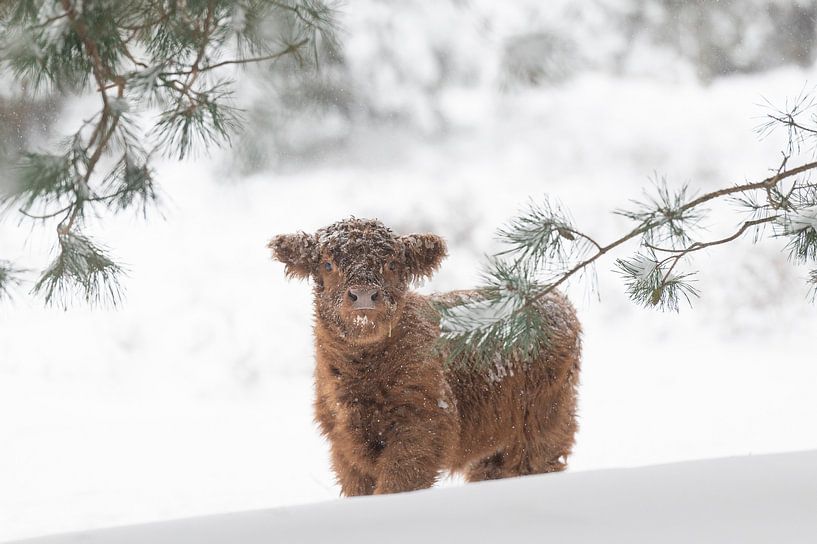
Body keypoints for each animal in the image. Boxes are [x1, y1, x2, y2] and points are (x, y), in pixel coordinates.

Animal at [270, 218, 580, 498]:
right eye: (327, 264)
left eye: (392, 264)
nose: (364, 296)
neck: (363, 374)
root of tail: (555, 299)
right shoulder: (344, 445)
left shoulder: (423, 427)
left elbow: (397, 483)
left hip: (543, 421)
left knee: (535, 462)